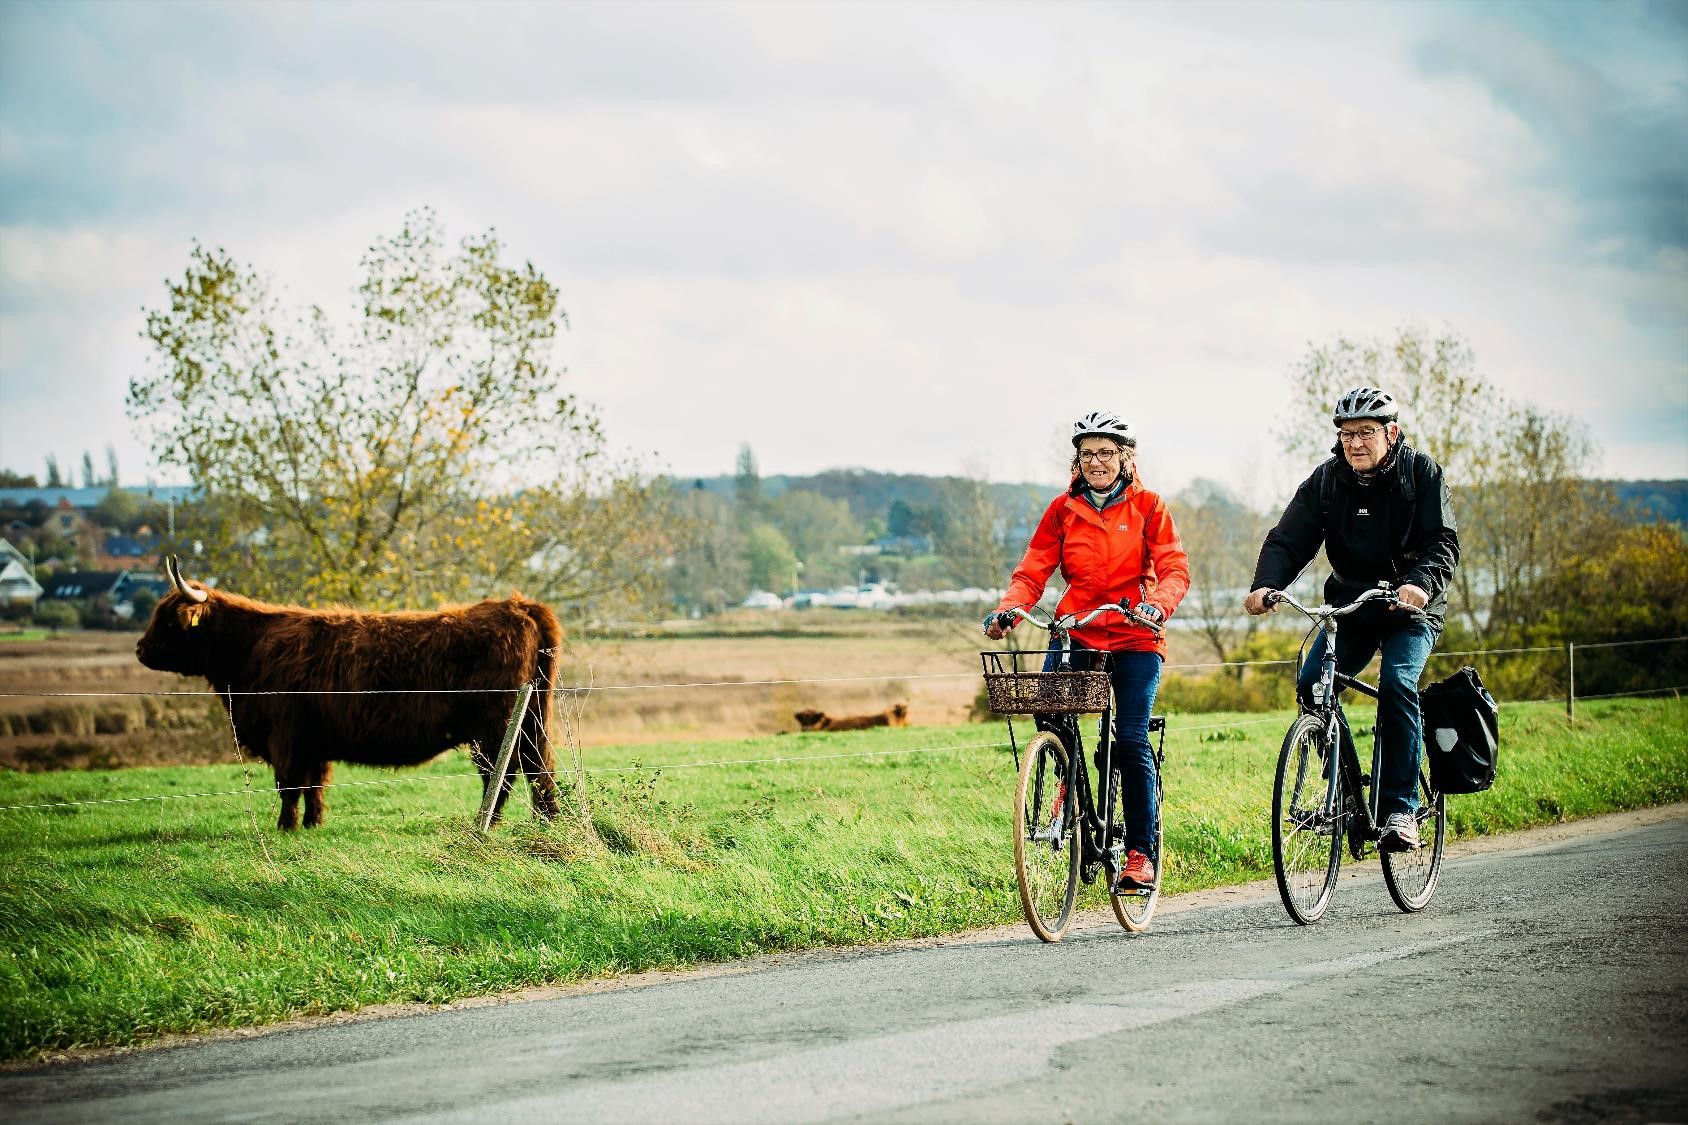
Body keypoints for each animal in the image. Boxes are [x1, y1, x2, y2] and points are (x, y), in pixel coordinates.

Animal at [138, 557, 560, 827]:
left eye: (168, 621)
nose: (140, 649)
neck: (251, 648)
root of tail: (518, 605)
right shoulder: (313, 739)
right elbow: (314, 784)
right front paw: (313, 824)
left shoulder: (285, 736)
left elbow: (290, 785)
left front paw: (285, 826)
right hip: (532, 717)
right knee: (540, 766)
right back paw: (548, 819)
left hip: (496, 728)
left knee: (501, 774)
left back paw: (488, 823)